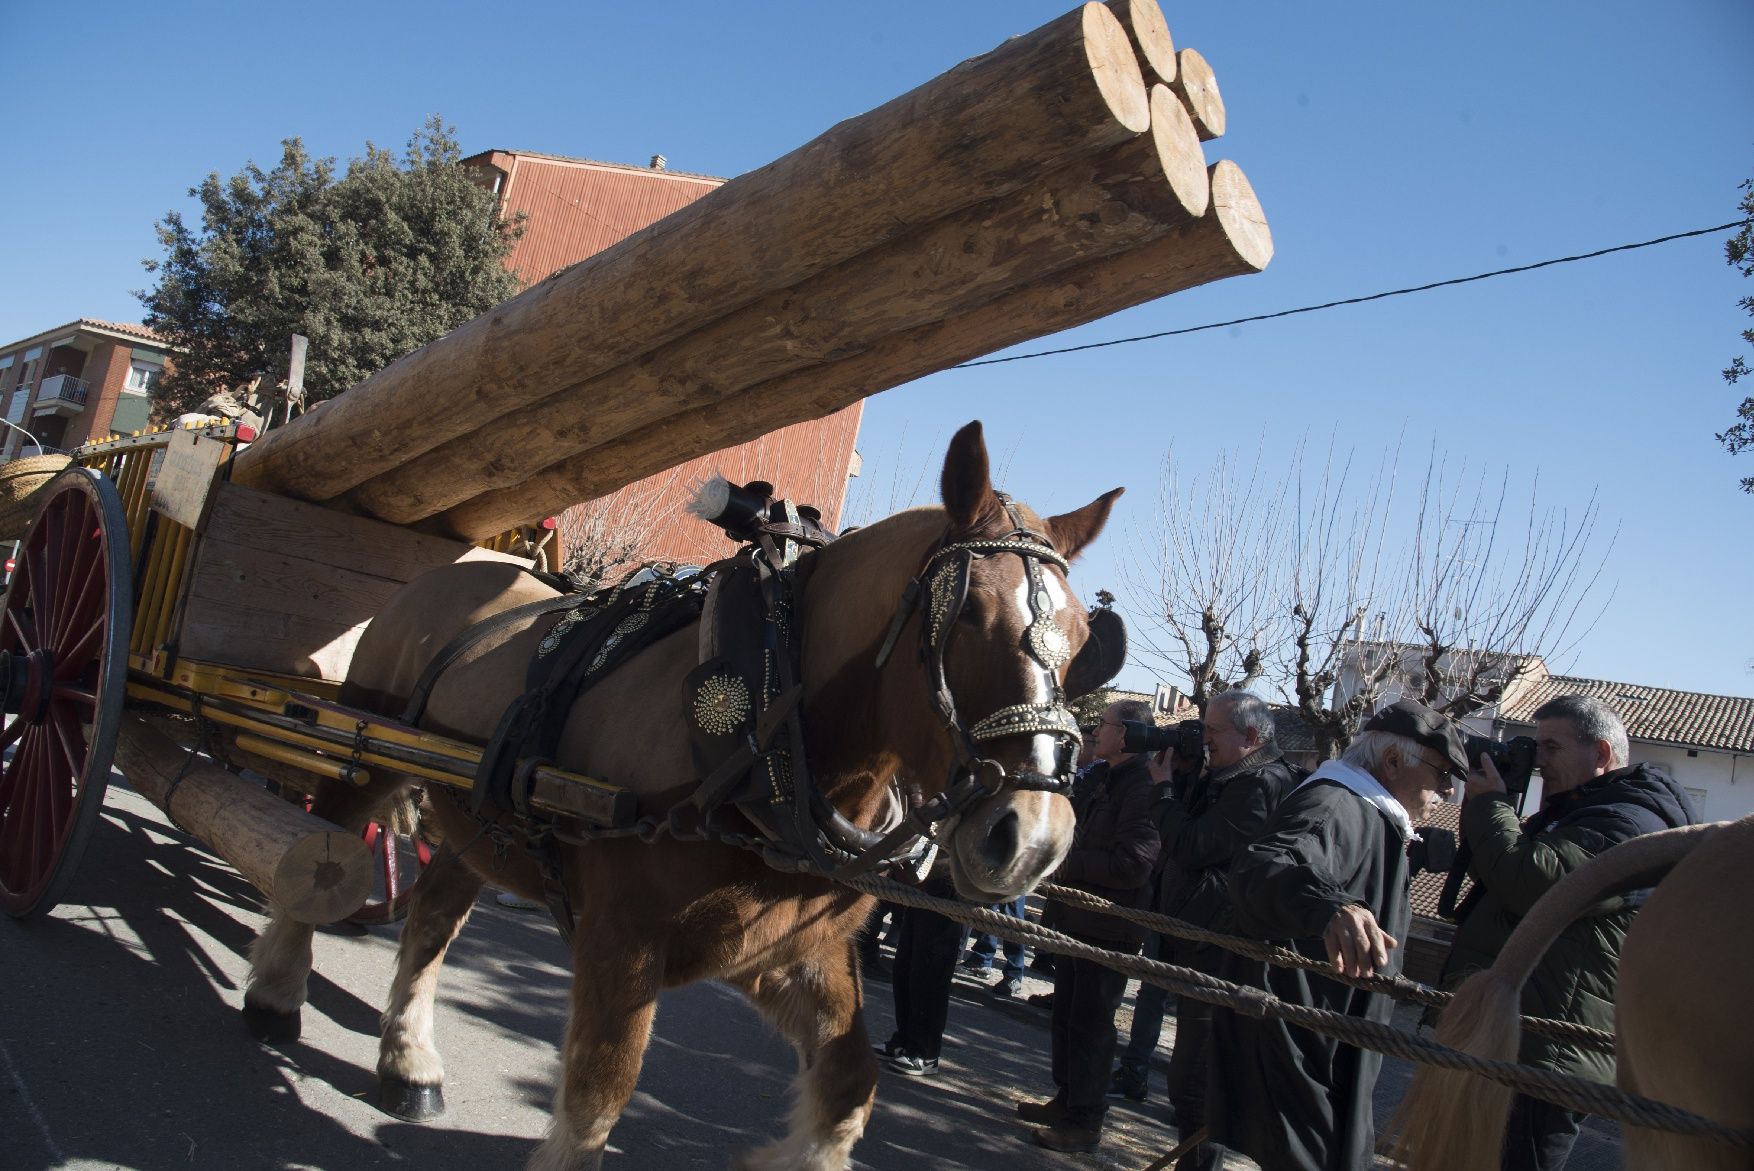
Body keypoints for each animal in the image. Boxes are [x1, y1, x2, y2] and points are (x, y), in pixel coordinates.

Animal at [236, 422, 1122, 1171]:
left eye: (1084, 640)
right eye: (967, 613)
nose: (1035, 838)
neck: (766, 742)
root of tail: (453, 574)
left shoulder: (786, 949)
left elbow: (849, 1087)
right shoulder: (622, 938)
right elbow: (599, 1094)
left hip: (479, 816)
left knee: (431, 917)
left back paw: (408, 1060)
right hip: (369, 754)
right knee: (322, 857)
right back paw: (277, 992)